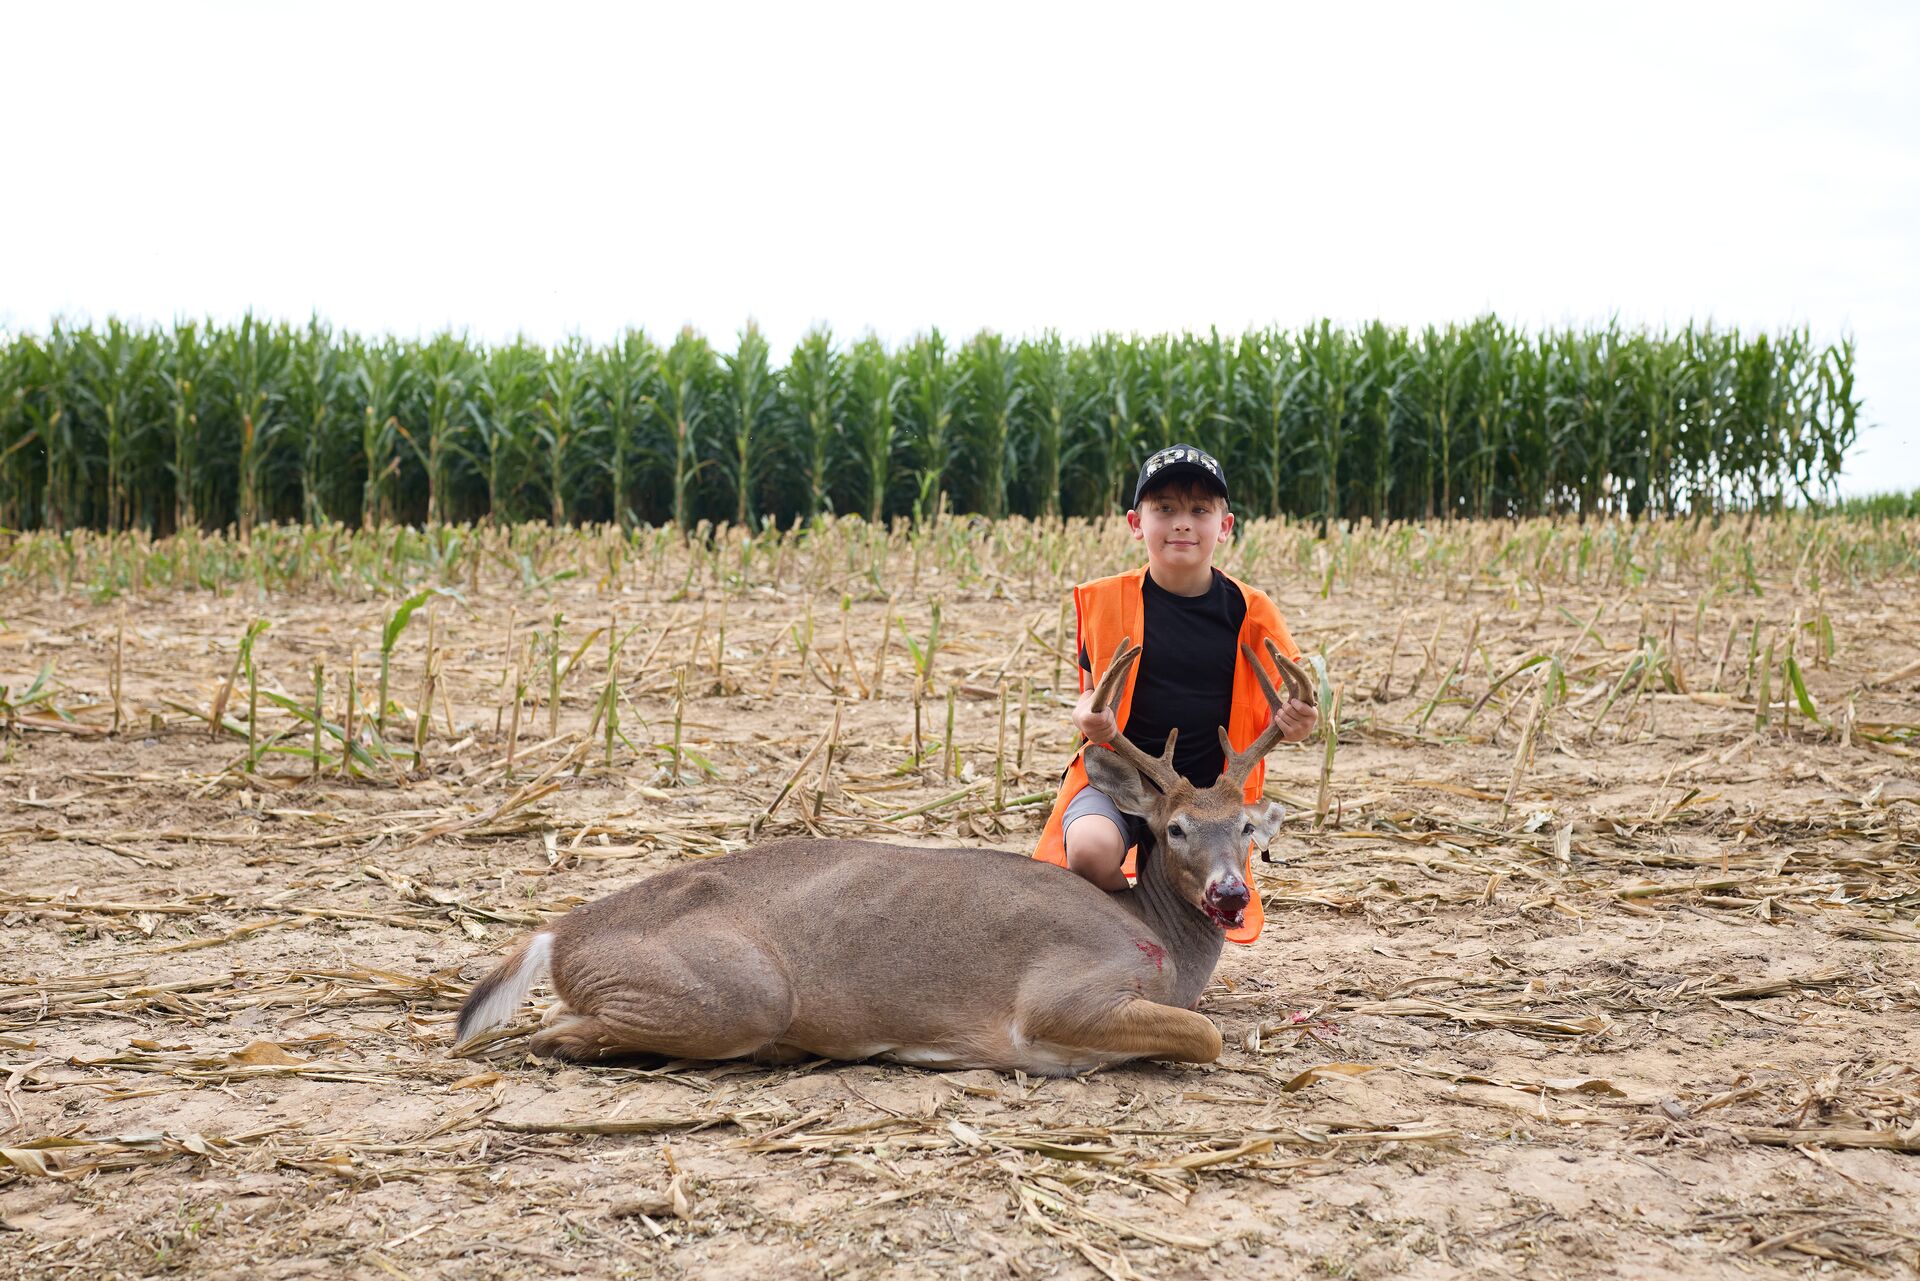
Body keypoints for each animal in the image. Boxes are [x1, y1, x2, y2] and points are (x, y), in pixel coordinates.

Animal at [453, 637, 1317, 1076]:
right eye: (1176, 829)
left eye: (1248, 827)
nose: (1230, 896)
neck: (1156, 939)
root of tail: (558, 933)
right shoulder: (1065, 991)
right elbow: (1203, 1036)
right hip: (739, 990)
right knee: (550, 1031)